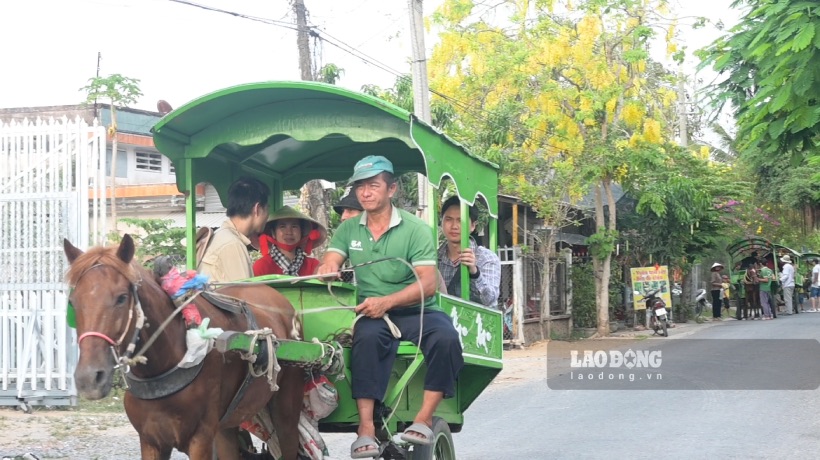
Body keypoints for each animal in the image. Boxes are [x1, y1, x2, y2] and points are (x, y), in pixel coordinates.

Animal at [63, 235, 302, 458]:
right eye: (73, 302)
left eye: (121, 298)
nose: (88, 378)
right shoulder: (150, 440)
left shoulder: (201, 439)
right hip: (226, 424)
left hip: (286, 409)